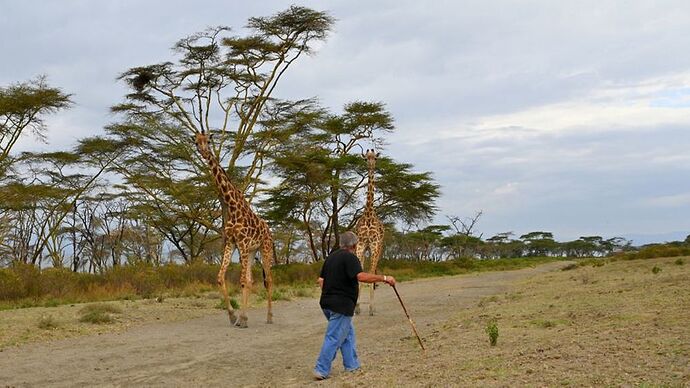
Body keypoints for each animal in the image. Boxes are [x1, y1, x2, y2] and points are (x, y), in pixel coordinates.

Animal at [192, 133, 272, 328]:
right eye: (196, 142)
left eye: (208, 141)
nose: (204, 152)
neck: (233, 208)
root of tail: (268, 229)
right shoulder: (231, 243)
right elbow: (221, 277)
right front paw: (234, 316)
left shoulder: (241, 243)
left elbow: (242, 281)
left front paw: (241, 318)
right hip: (251, 251)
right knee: (251, 280)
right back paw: (247, 317)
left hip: (264, 248)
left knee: (269, 280)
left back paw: (269, 317)